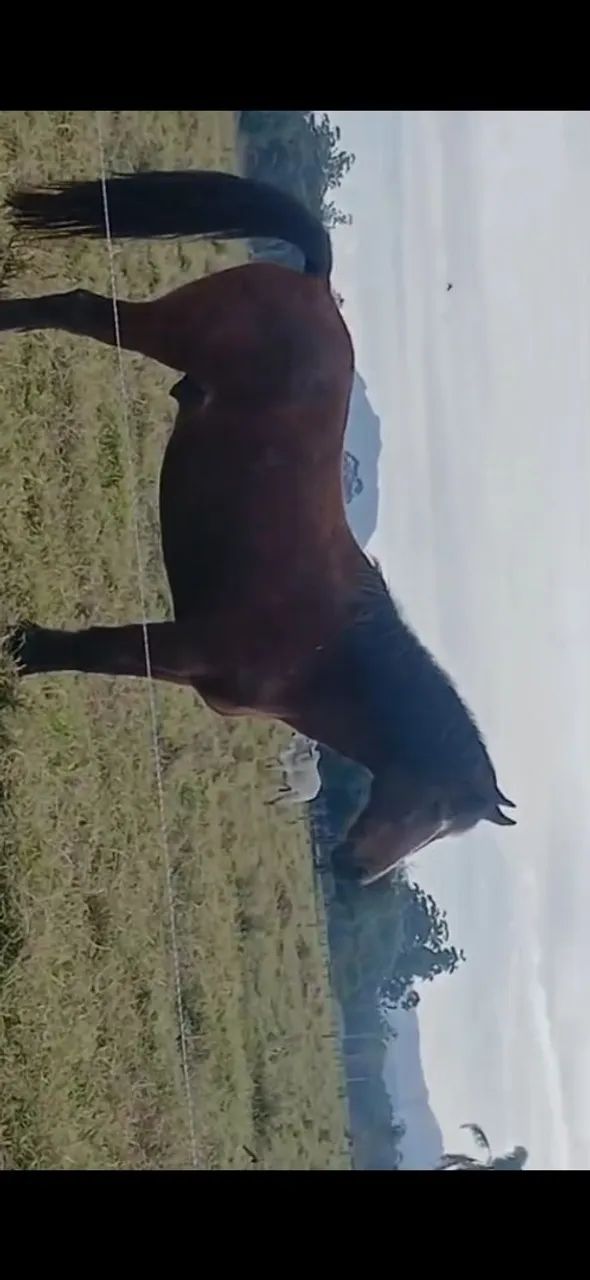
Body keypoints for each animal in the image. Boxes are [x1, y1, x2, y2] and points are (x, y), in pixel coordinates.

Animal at [0, 167, 516, 887]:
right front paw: (23, 650)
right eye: (436, 810)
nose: (355, 871)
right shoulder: (188, 642)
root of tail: (317, 286)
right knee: (76, 309)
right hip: (161, 329)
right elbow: (96, 652)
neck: (329, 654)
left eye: (444, 830)